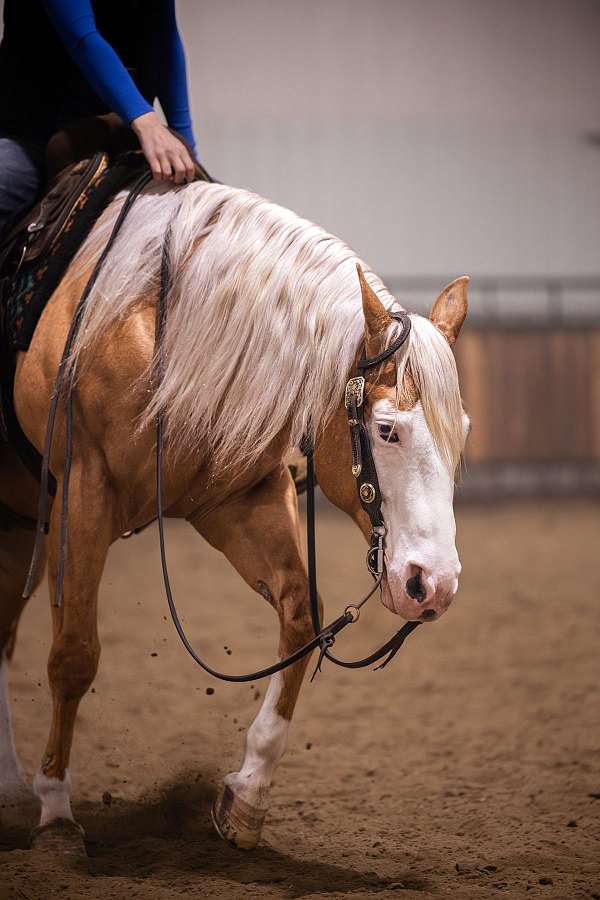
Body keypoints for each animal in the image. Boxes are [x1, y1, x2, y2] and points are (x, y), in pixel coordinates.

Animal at [0, 178, 469, 854]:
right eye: (387, 430)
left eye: (462, 431)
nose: (433, 585)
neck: (165, 329)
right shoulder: (82, 493)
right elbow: (73, 654)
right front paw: (58, 813)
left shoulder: (243, 499)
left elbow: (302, 621)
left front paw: (246, 797)